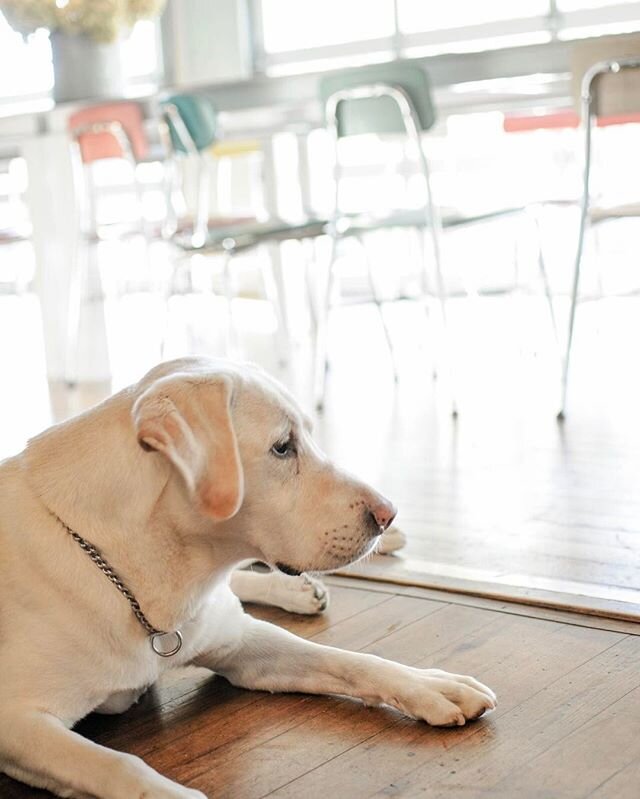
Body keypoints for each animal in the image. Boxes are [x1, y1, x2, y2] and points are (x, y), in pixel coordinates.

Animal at [0, 360, 496, 796]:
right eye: (282, 447)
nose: (387, 514)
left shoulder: (241, 645)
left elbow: (352, 661)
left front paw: (431, 685)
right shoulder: (16, 725)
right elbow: (122, 767)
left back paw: (306, 584)